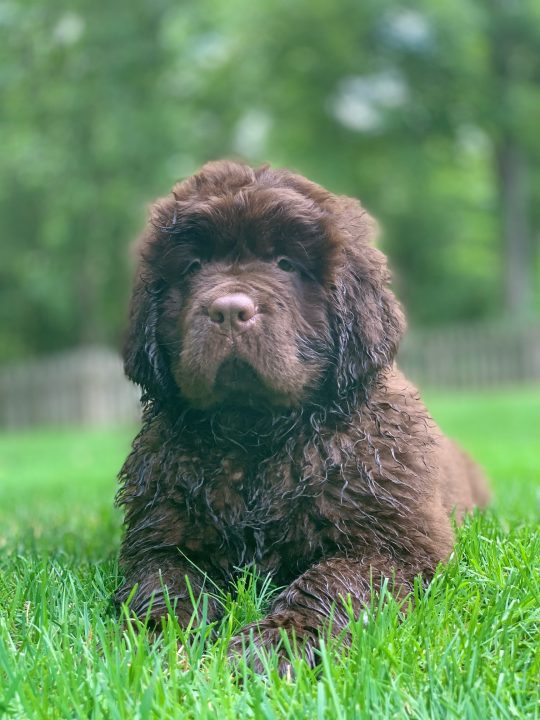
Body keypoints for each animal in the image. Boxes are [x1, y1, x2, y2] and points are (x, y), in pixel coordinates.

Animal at [117, 160, 490, 668]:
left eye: (285, 264)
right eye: (193, 267)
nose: (230, 310)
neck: (256, 437)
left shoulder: (394, 547)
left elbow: (331, 583)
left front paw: (275, 644)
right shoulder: (162, 538)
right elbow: (163, 586)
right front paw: (158, 645)